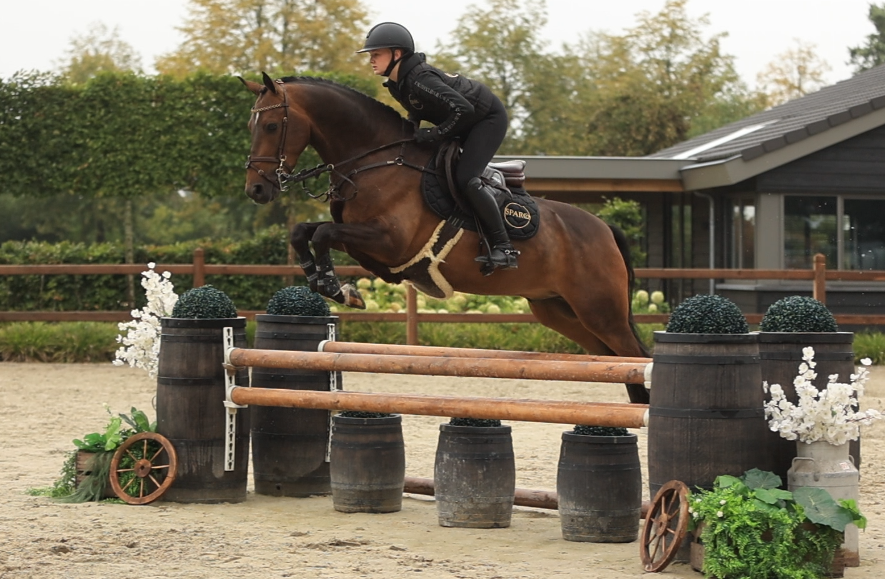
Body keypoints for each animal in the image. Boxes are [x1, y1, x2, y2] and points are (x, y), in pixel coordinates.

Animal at [241, 73, 650, 404]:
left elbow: (324, 232)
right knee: (619, 365)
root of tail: (605, 229)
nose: (256, 190)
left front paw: (337, 288)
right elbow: (305, 231)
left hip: (600, 311)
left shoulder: (389, 241)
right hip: (559, 310)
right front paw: (328, 283)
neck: (375, 161)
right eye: (250, 125)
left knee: (637, 358)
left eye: (273, 126)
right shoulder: (366, 241)